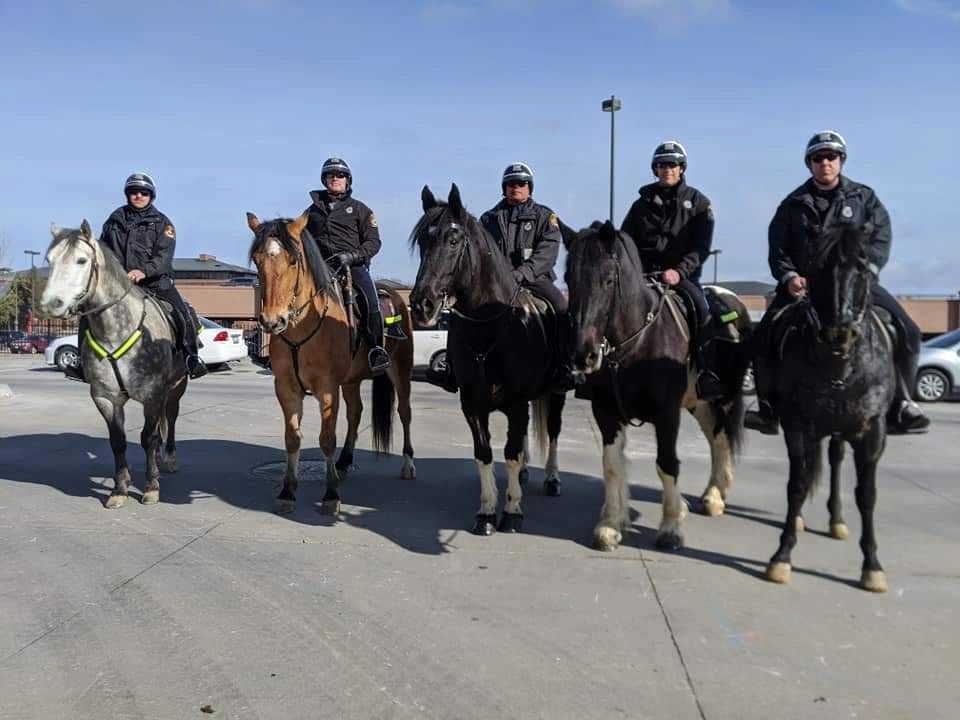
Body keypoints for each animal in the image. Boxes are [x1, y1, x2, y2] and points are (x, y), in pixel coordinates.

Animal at [40, 221, 187, 508]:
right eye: (49, 260)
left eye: (81, 260)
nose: (52, 304)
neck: (115, 329)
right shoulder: (105, 397)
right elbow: (118, 441)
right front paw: (119, 489)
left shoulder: (153, 393)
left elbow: (147, 438)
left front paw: (151, 487)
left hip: (175, 388)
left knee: (171, 419)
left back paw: (170, 458)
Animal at [246, 213, 416, 514]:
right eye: (257, 259)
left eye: (293, 260)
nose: (271, 321)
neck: (303, 328)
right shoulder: (287, 388)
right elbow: (292, 438)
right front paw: (288, 491)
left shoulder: (327, 389)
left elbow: (326, 439)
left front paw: (331, 494)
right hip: (350, 381)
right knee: (356, 413)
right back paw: (344, 462)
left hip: (401, 368)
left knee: (404, 412)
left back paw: (407, 463)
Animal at [408, 184, 566, 536]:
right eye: (423, 241)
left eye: (453, 240)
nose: (421, 304)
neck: (490, 326)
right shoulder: (472, 404)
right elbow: (484, 453)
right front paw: (487, 511)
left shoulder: (517, 403)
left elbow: (510, 452)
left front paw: (513, 511)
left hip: (557, 393)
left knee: (552, 431)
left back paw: (552, 478)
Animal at [563, 220, 752, 550]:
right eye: (567, 279)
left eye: (608, 280)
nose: (582, 355)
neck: (635, 344)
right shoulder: (606, 412)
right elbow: (612, 465)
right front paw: (610, 525)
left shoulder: (667, 414)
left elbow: (667, 463)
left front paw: (671, 528)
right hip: (698, 402)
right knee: (714, 436)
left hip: (723, 396)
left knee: (722, 439)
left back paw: (714, 496)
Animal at [762, 223, 894, 592]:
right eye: (816, 268)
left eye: (862, 267)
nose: (839, 333)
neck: (840, 367)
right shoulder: (797, 424)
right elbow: (796, 485)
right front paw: (782, 556)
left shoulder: (872, 430)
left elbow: (867, 494)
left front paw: (872, 566)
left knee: (835, 458)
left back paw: (836, 519)